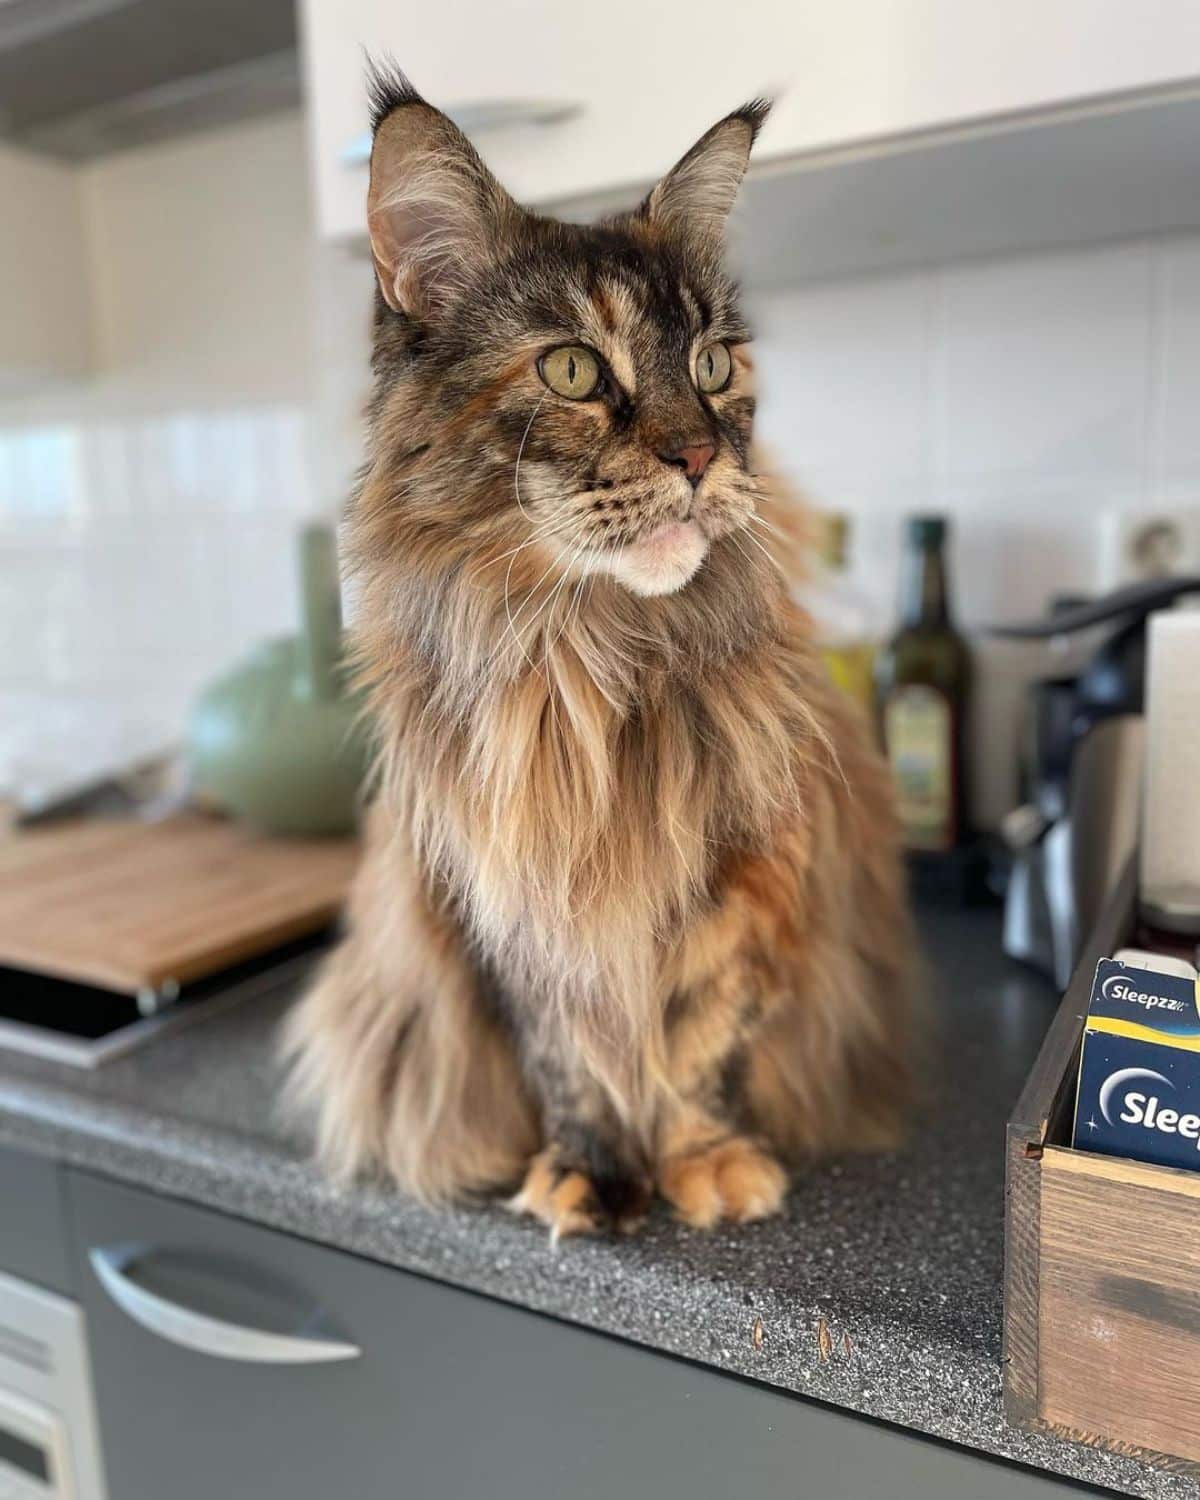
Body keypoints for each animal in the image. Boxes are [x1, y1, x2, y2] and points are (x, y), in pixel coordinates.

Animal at [286, 70, 912, 1236]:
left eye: (713, 363)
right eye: (574, 370)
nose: (701, 456)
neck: (585, 670)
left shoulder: (744, 877)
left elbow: (702, 1037)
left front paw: (705, 1160)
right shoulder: (505, 904)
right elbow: (568, 1058)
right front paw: (591, 1169)